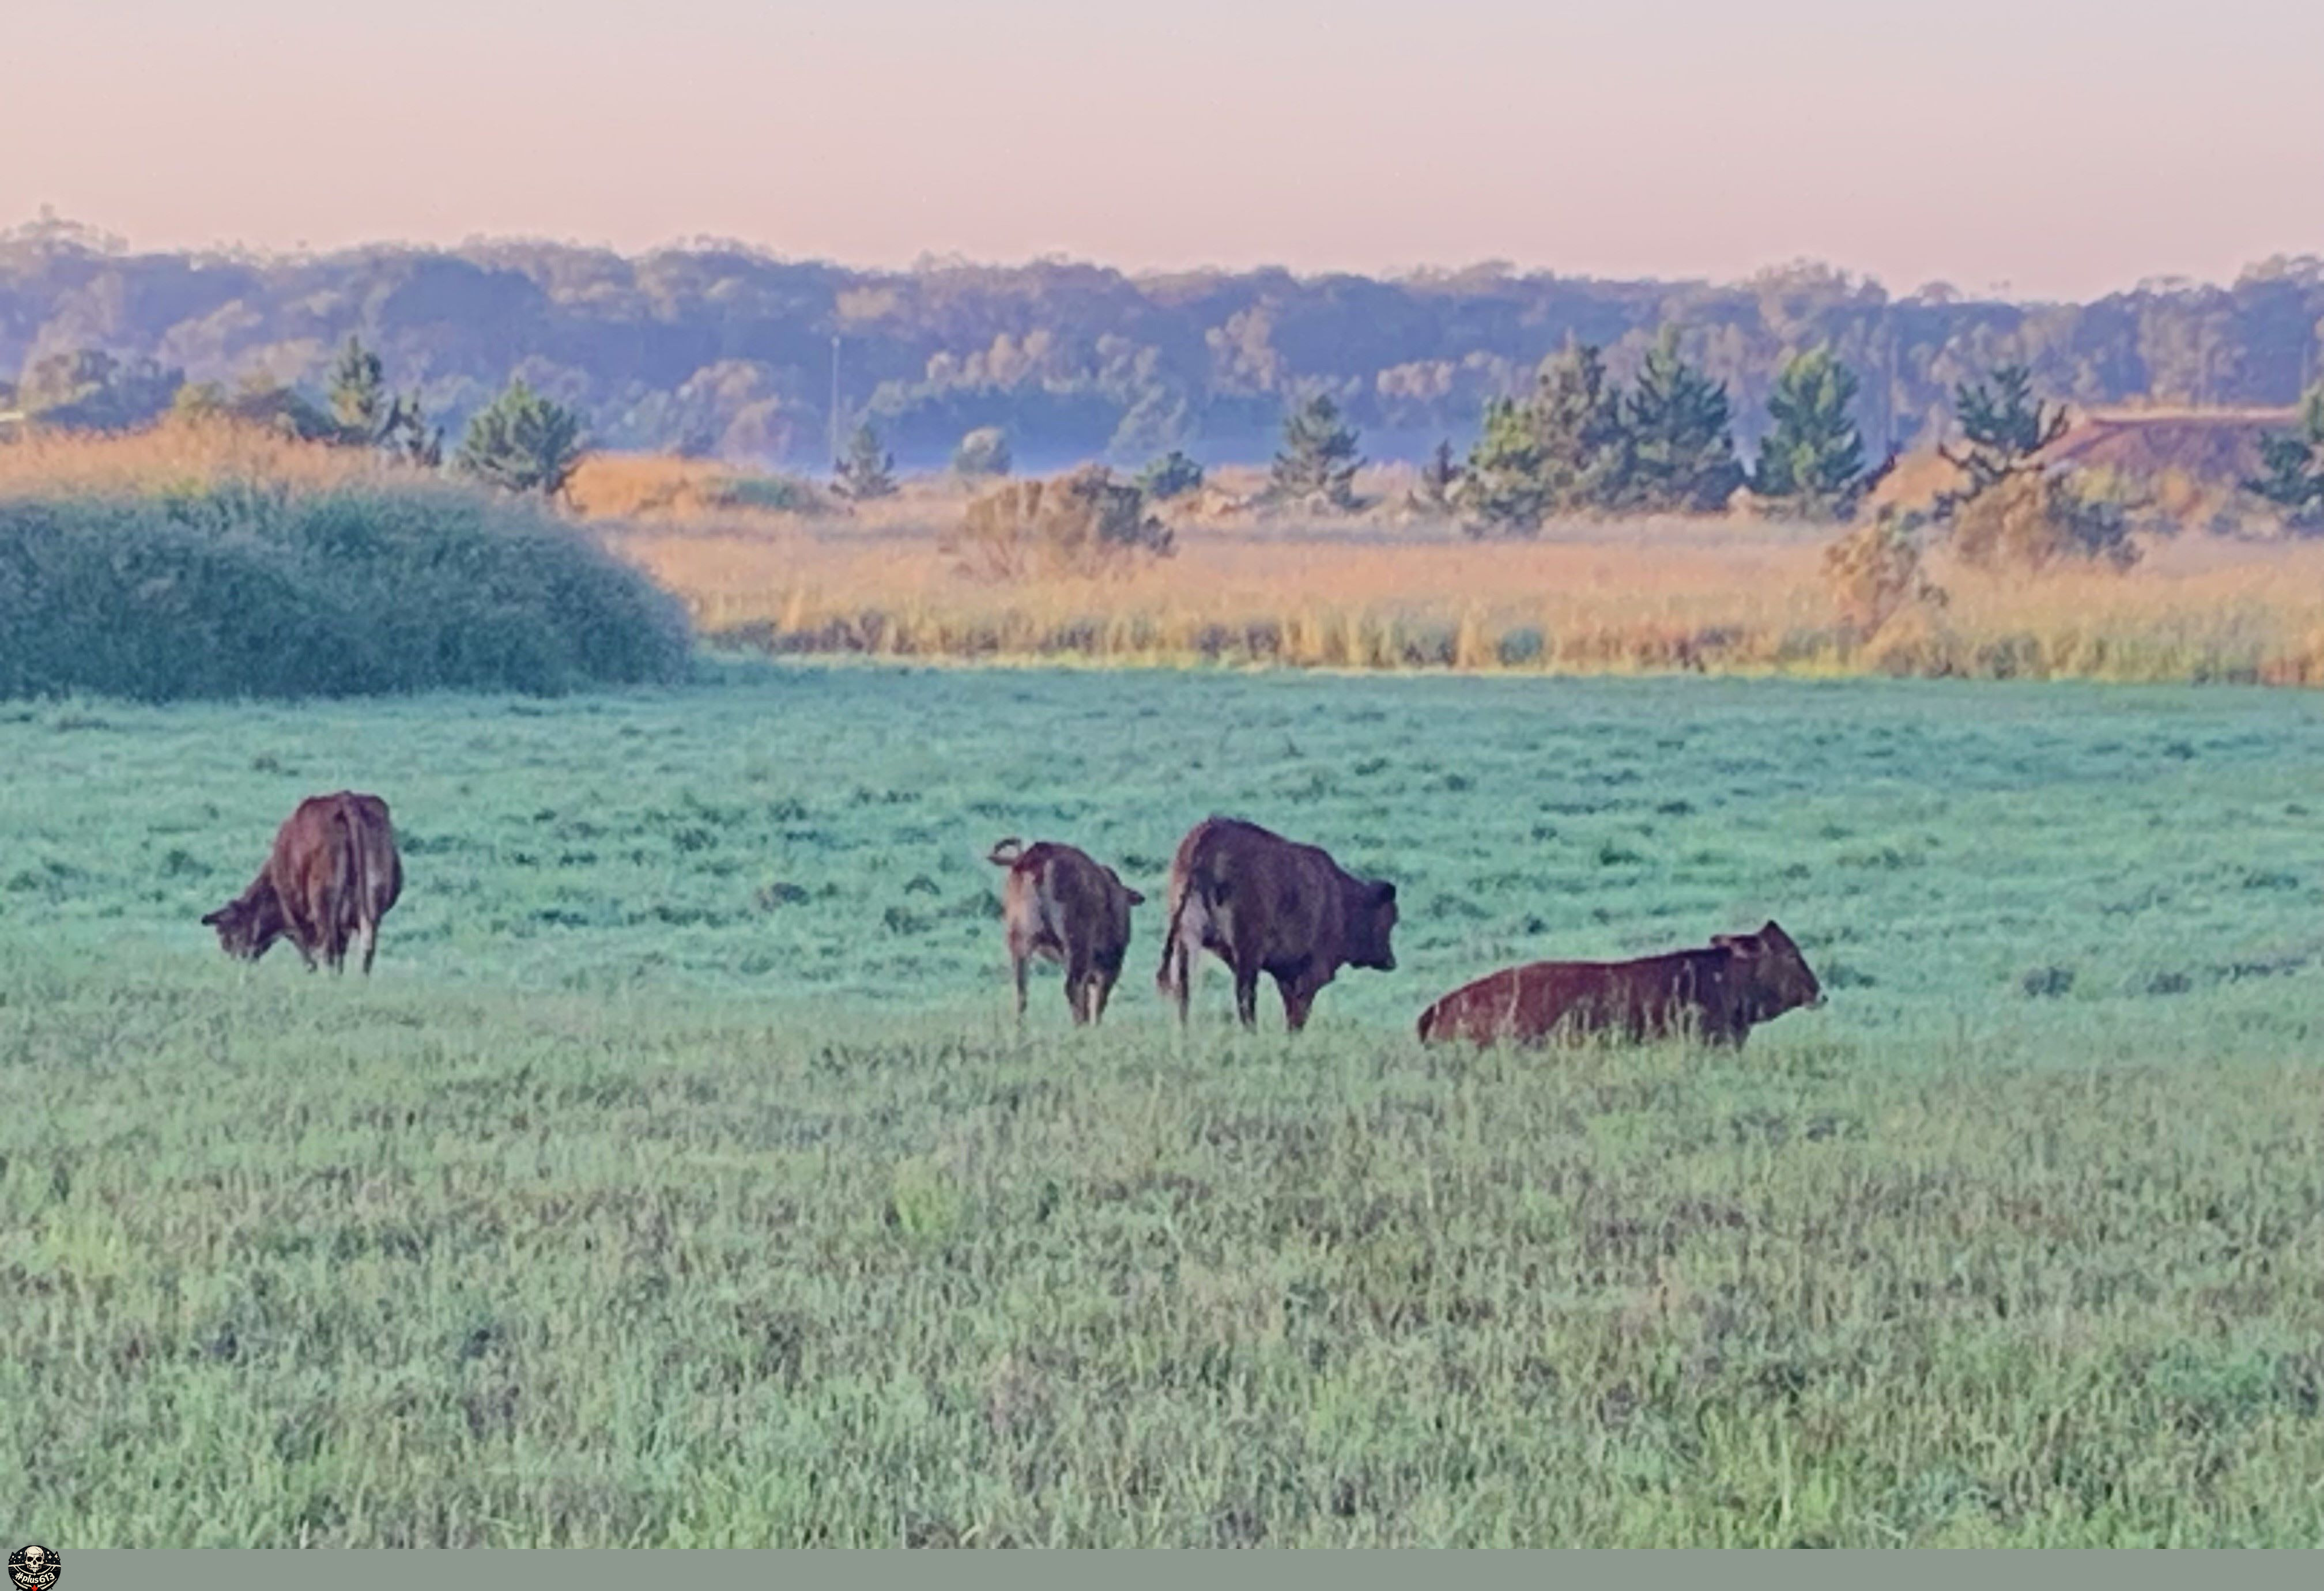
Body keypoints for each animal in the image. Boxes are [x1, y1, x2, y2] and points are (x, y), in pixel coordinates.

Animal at [201, 791, 403, 975]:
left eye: (224, 934)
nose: (235, 963)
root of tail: (346, 799)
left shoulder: (298, 923)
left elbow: (309, 958)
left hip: (323, 907)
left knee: (328, 950)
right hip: (372, 905)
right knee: (366, 949)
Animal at [987, 837, 1144, 1025]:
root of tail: (1038, 855)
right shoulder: (1110, 965)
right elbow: (1097, 1004)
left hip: (1019, 939)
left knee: (1021, 991)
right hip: (1077, 943)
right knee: (1072, 989)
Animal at [1155, 816, 1398, 1032]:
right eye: (1391, 920)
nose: (1391, 962)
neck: (1341, 899)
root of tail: (1207, 835)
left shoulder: (1286, 974)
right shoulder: (1312, 972)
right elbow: (1297, 1018)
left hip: (1186, 941)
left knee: (1184, 991)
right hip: (1247, 951)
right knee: (1245, 998)